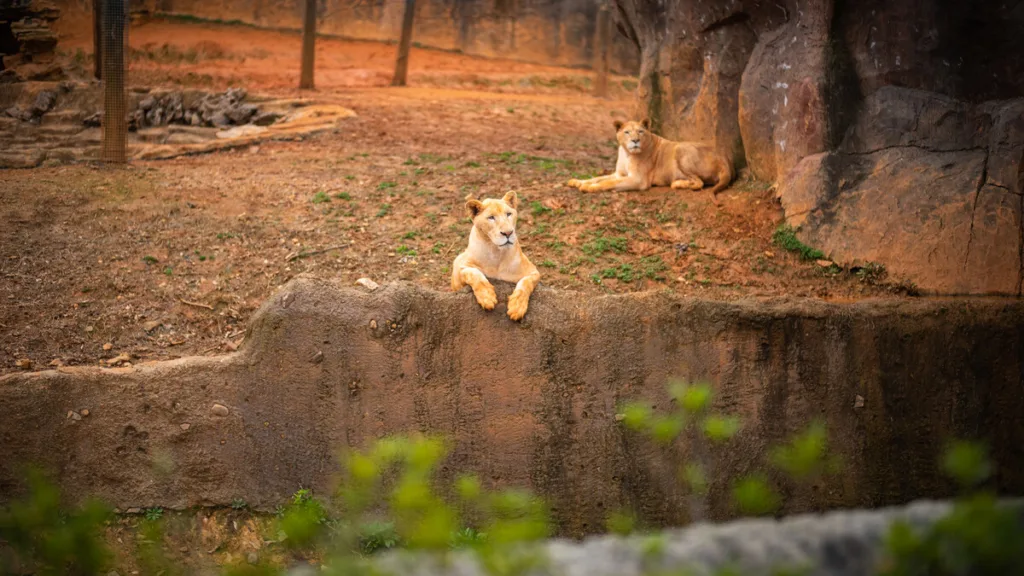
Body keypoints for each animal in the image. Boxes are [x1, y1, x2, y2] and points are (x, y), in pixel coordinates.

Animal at [452, 190, 540, 319]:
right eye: (491, 217)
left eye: (508, 214)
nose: (508, 233)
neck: (496, 252)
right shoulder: (459, 267)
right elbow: (474, 273)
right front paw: (487, 297)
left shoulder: (533, 272)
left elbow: (526, 283)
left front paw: (517, 307)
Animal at [565, 117, 733, 196]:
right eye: (627, 132)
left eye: (640, 131)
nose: (635, 140)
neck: (626, 153)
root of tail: (725, 159)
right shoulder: (619, 174)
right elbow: (598, 178)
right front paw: (577, 182)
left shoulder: (638, 180)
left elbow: (607, 183)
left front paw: (588, 187)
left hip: (680, 148)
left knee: (699, 183)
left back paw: (677, 183)